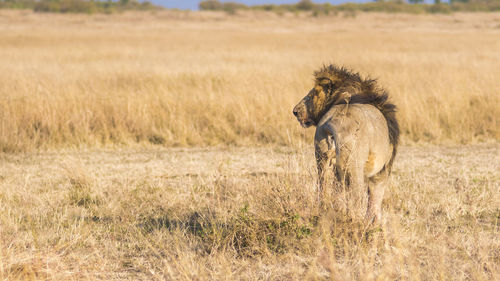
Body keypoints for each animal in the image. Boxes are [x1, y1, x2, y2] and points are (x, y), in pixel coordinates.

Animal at [292, 64, 400, 223]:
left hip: (322, 156)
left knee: (324, 188)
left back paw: (327, 212)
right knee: (356, 196)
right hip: (354, 164)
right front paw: (373, 223)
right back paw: (353, 219)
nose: (295, 111)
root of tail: (336, 118)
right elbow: (375, 199)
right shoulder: (382, 170)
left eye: (311, 95)